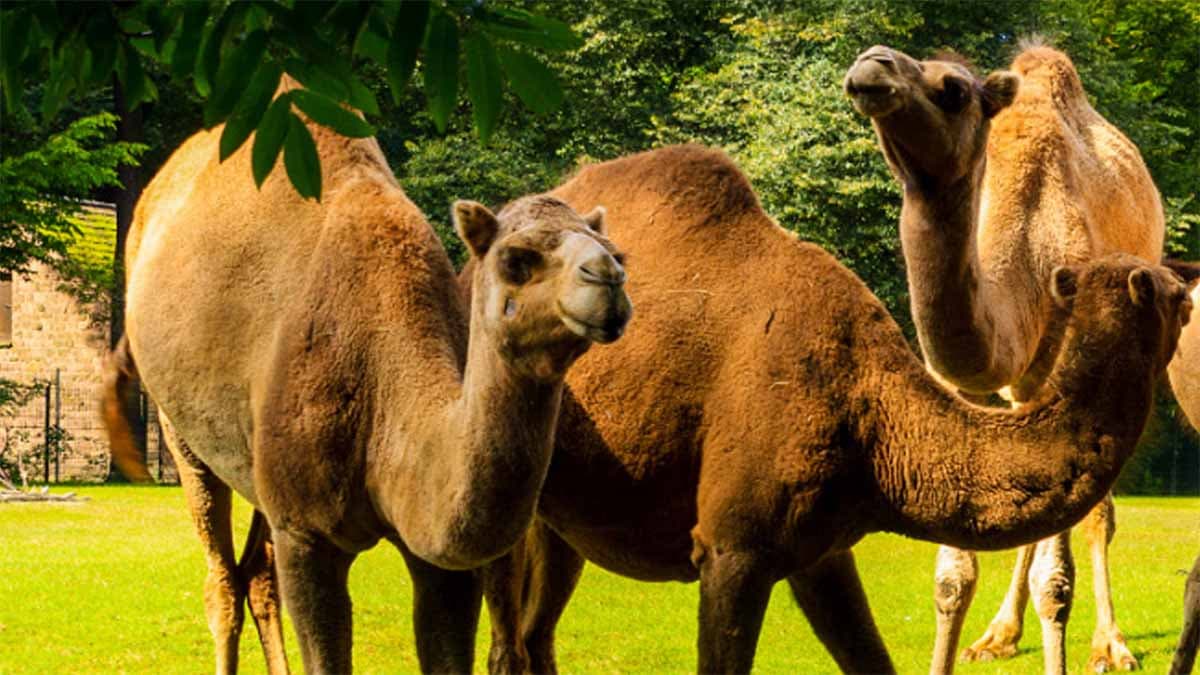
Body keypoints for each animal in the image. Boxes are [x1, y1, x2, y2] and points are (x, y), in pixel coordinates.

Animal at [105, 81, 632, 673]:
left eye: (616, 252)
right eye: (516, 259)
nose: (607, 276)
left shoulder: (439, 562)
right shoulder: (307, 533)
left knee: (256, 572)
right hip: (178, 425)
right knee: (220, 577)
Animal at [471, 145, 1192, 674]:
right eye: (1178, 301)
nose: (1186, 280)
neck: (876, 418)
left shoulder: (820, 548)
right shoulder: (734, 546)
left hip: (563, 513)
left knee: (535, 632)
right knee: (508, 632)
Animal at [845, 42, 1165, 674]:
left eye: (952, 89)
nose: (872, 62)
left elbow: (1056, 580)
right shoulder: (954, 386)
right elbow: (952, 576)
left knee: (1096, 515)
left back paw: (1109, 645)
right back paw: (999, 634)